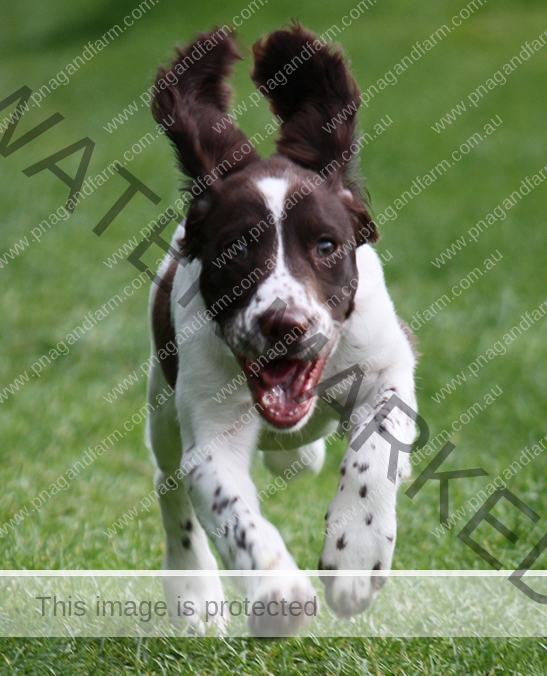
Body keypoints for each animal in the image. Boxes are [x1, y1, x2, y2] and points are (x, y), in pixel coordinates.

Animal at [146, 23, 416, 636]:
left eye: (326, 245)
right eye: (233, 251)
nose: (284, 324)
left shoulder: (388, 362)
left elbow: (376, 447)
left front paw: (355, 555)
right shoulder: (208, 432)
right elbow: (228, 506)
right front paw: (277, 595)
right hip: (162, 407)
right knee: (168, 487)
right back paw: (193, 595)